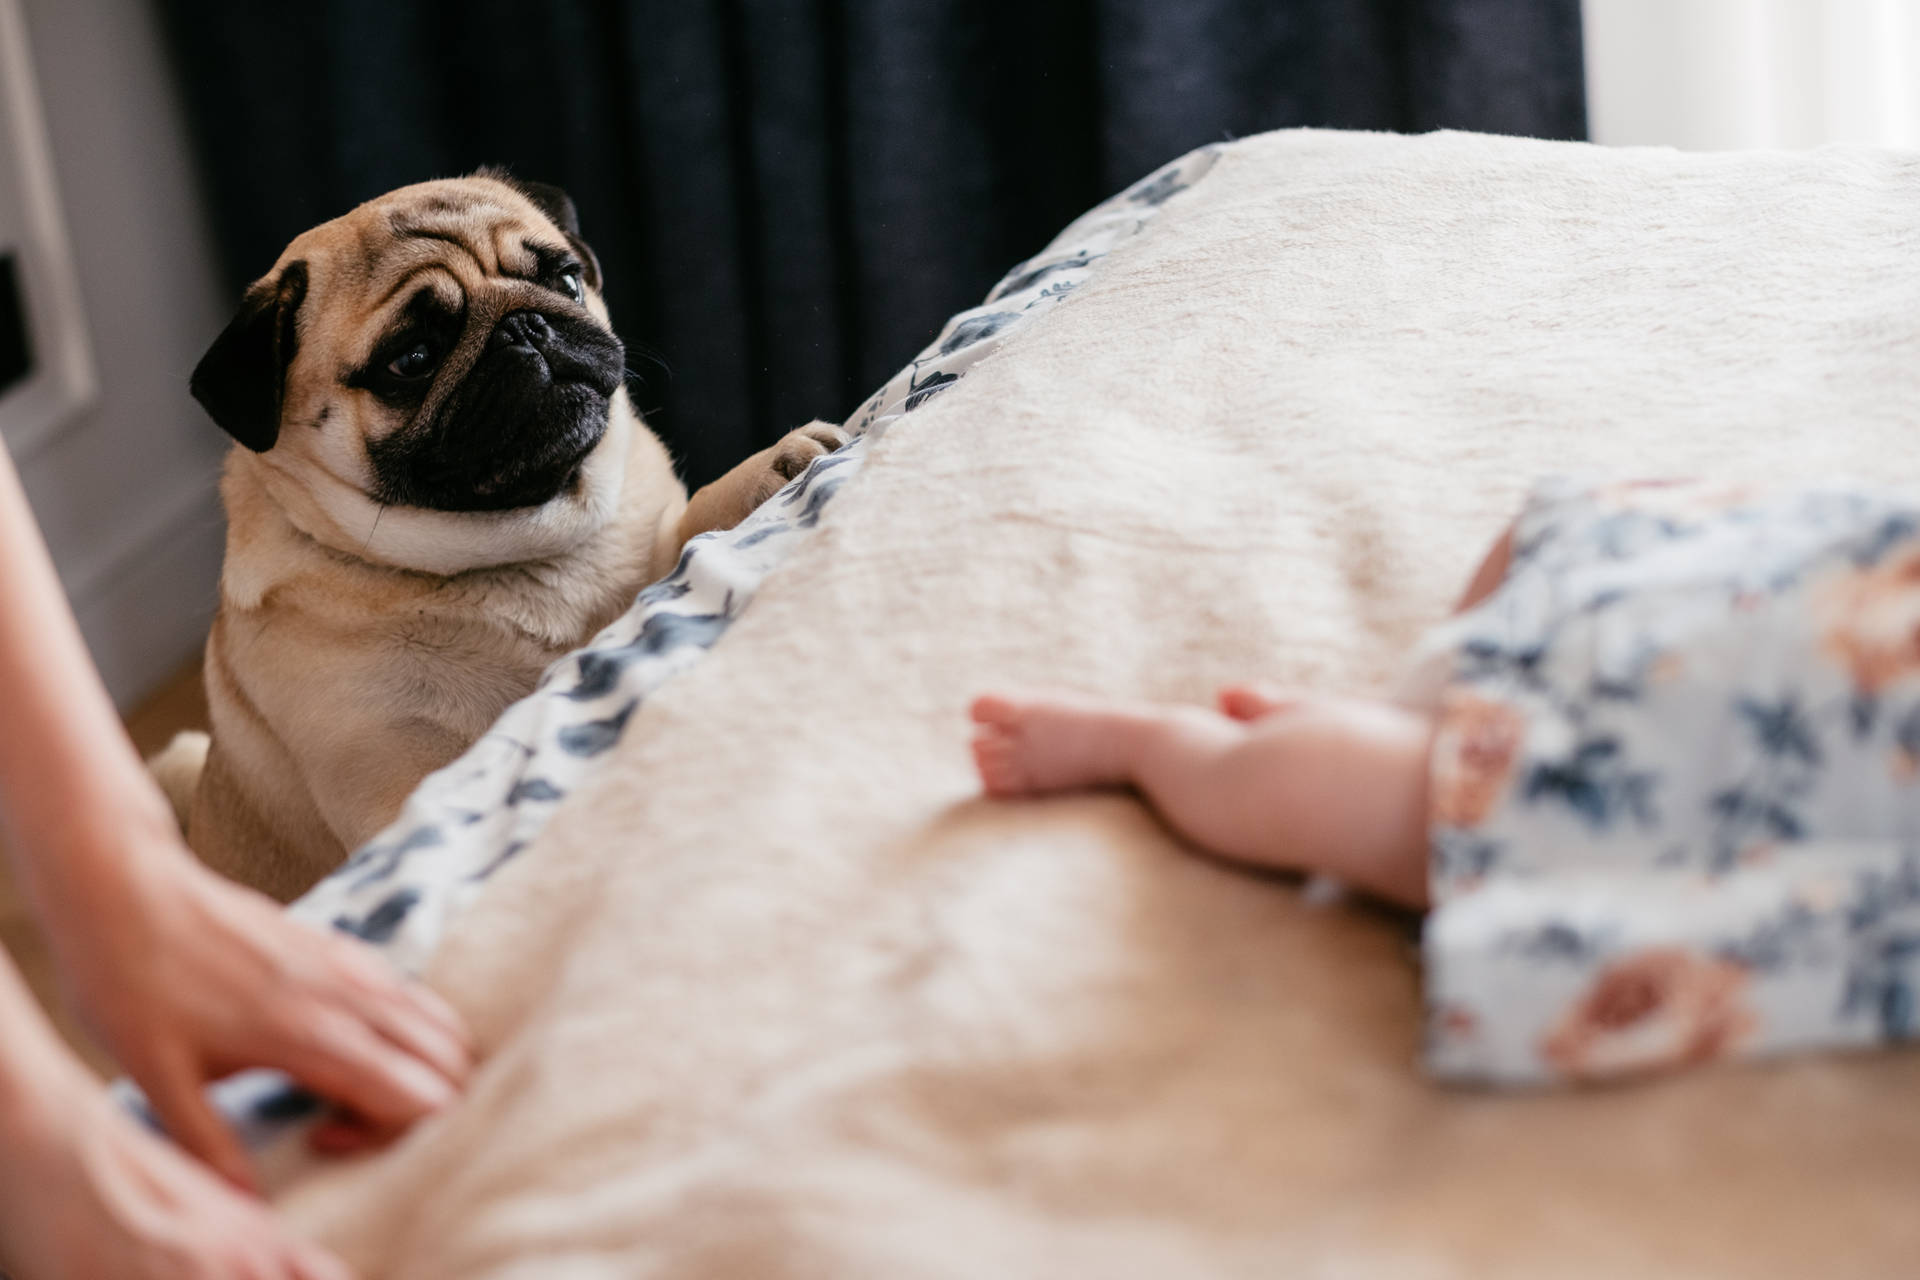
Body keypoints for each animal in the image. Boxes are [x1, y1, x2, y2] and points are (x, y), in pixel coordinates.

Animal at [149, 172, 840, 901]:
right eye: (412, 359)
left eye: (565, 280)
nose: (524, 323)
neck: (533, 544)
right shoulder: (393, 775)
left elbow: (690, 527)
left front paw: (774, 467)